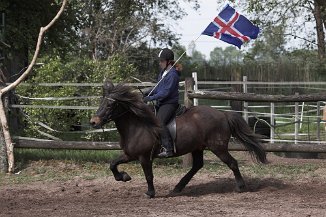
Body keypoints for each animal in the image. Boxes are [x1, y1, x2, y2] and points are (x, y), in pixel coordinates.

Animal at [90, 80, 268, 198]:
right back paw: (178, 187)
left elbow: (149, 175)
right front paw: (123, 177)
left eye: (110, 105)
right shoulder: (129, 154)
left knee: (232, 163)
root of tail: (223, 114)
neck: (138, 125)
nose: (93, 122)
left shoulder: (144, 157)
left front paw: (150, 193)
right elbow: (112, 164)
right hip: (198, 147)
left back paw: (240, 186)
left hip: (218, 147)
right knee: (197, 165)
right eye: (101, 102)